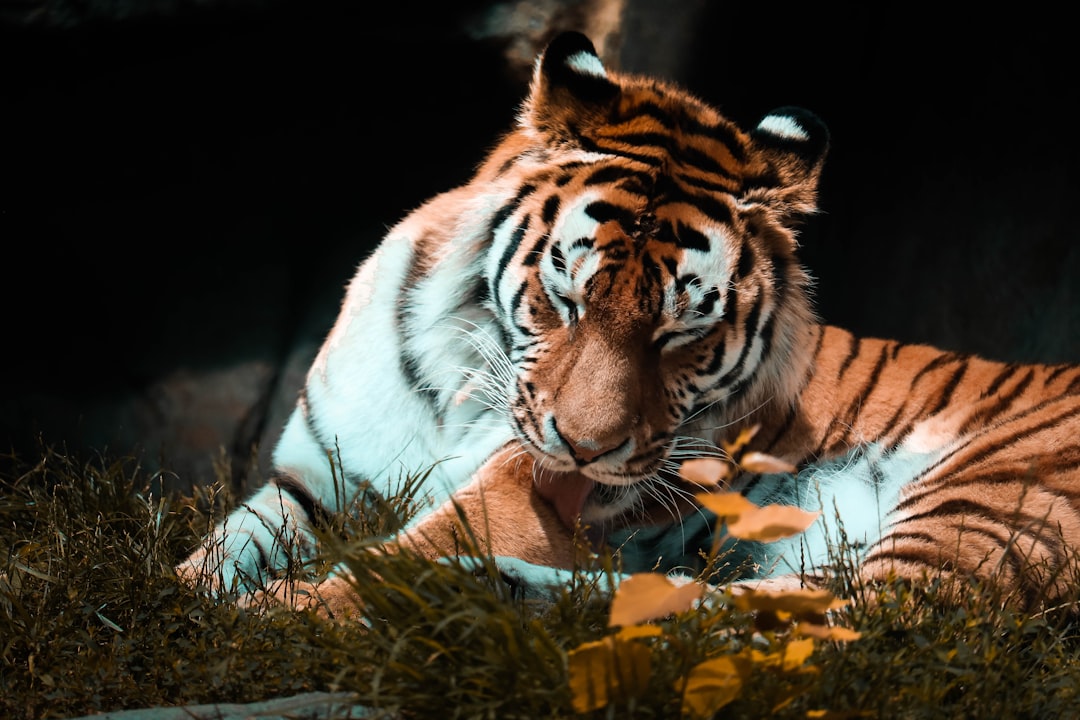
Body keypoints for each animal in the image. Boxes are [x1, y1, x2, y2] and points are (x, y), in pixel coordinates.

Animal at [176, 31, 1080, 618]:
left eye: (682, 334)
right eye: (565, 300)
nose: (585, 451)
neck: (461, 379)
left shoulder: (522, 488)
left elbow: (397, 554)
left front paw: (279, 616)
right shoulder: (315, 479)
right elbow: (220, 549)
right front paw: (180, 602)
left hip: (990, 492)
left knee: (857, 623)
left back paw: (482, 592)